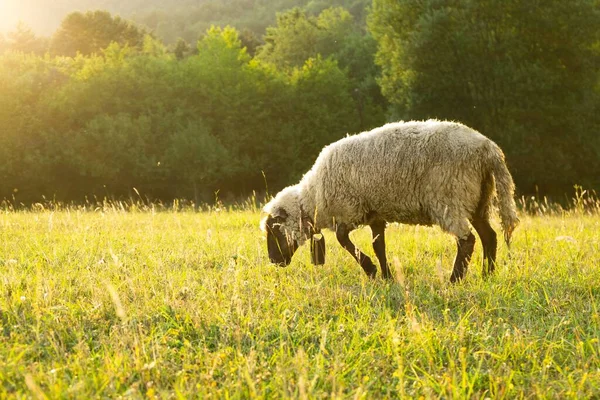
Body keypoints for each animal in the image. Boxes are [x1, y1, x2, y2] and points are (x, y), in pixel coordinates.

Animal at [260, 119, 516, 282]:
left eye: (274, 230)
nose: (274, 261)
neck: (314, 197)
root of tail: (488, 148)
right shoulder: (375, 214)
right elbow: (378, 245)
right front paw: (386, 275)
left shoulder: (349, 209)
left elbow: (343, 240)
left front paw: (371, 270)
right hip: (477, 199)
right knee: (489, 236)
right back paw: (487, 275)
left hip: (449, 198)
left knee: (467, 240)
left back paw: (455, 280)